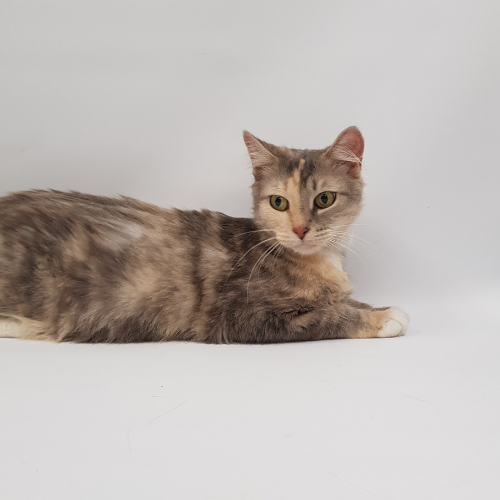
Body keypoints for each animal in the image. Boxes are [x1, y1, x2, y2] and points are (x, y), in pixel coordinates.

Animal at [0, 126, 409, 343]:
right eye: (279, 202)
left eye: (324, 199)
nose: (300, 228)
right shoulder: (237, 316)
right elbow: (327, 315)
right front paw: (382, 319)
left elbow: (345, 301)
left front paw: (379, 307)